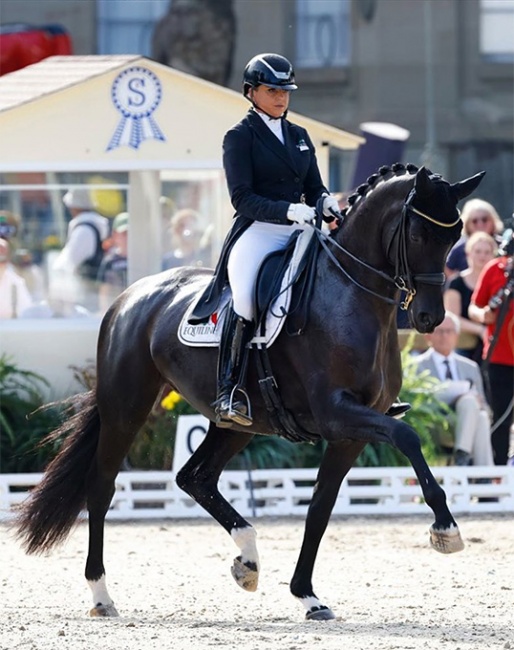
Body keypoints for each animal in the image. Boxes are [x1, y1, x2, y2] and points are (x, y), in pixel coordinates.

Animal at [16, 162, 482, 616]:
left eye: (454, 236)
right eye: (418, 234)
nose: (429, 318)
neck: (350, 295)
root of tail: (130, 295)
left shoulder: (349, 432)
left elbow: (320, 505)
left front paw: (307, 595)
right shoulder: (337, 413)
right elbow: (407, 436)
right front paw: (446, 528)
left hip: (237, 423)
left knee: (195, 478)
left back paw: (248, 559)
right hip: (126, 408)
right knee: (102, 488)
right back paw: (101, 595)